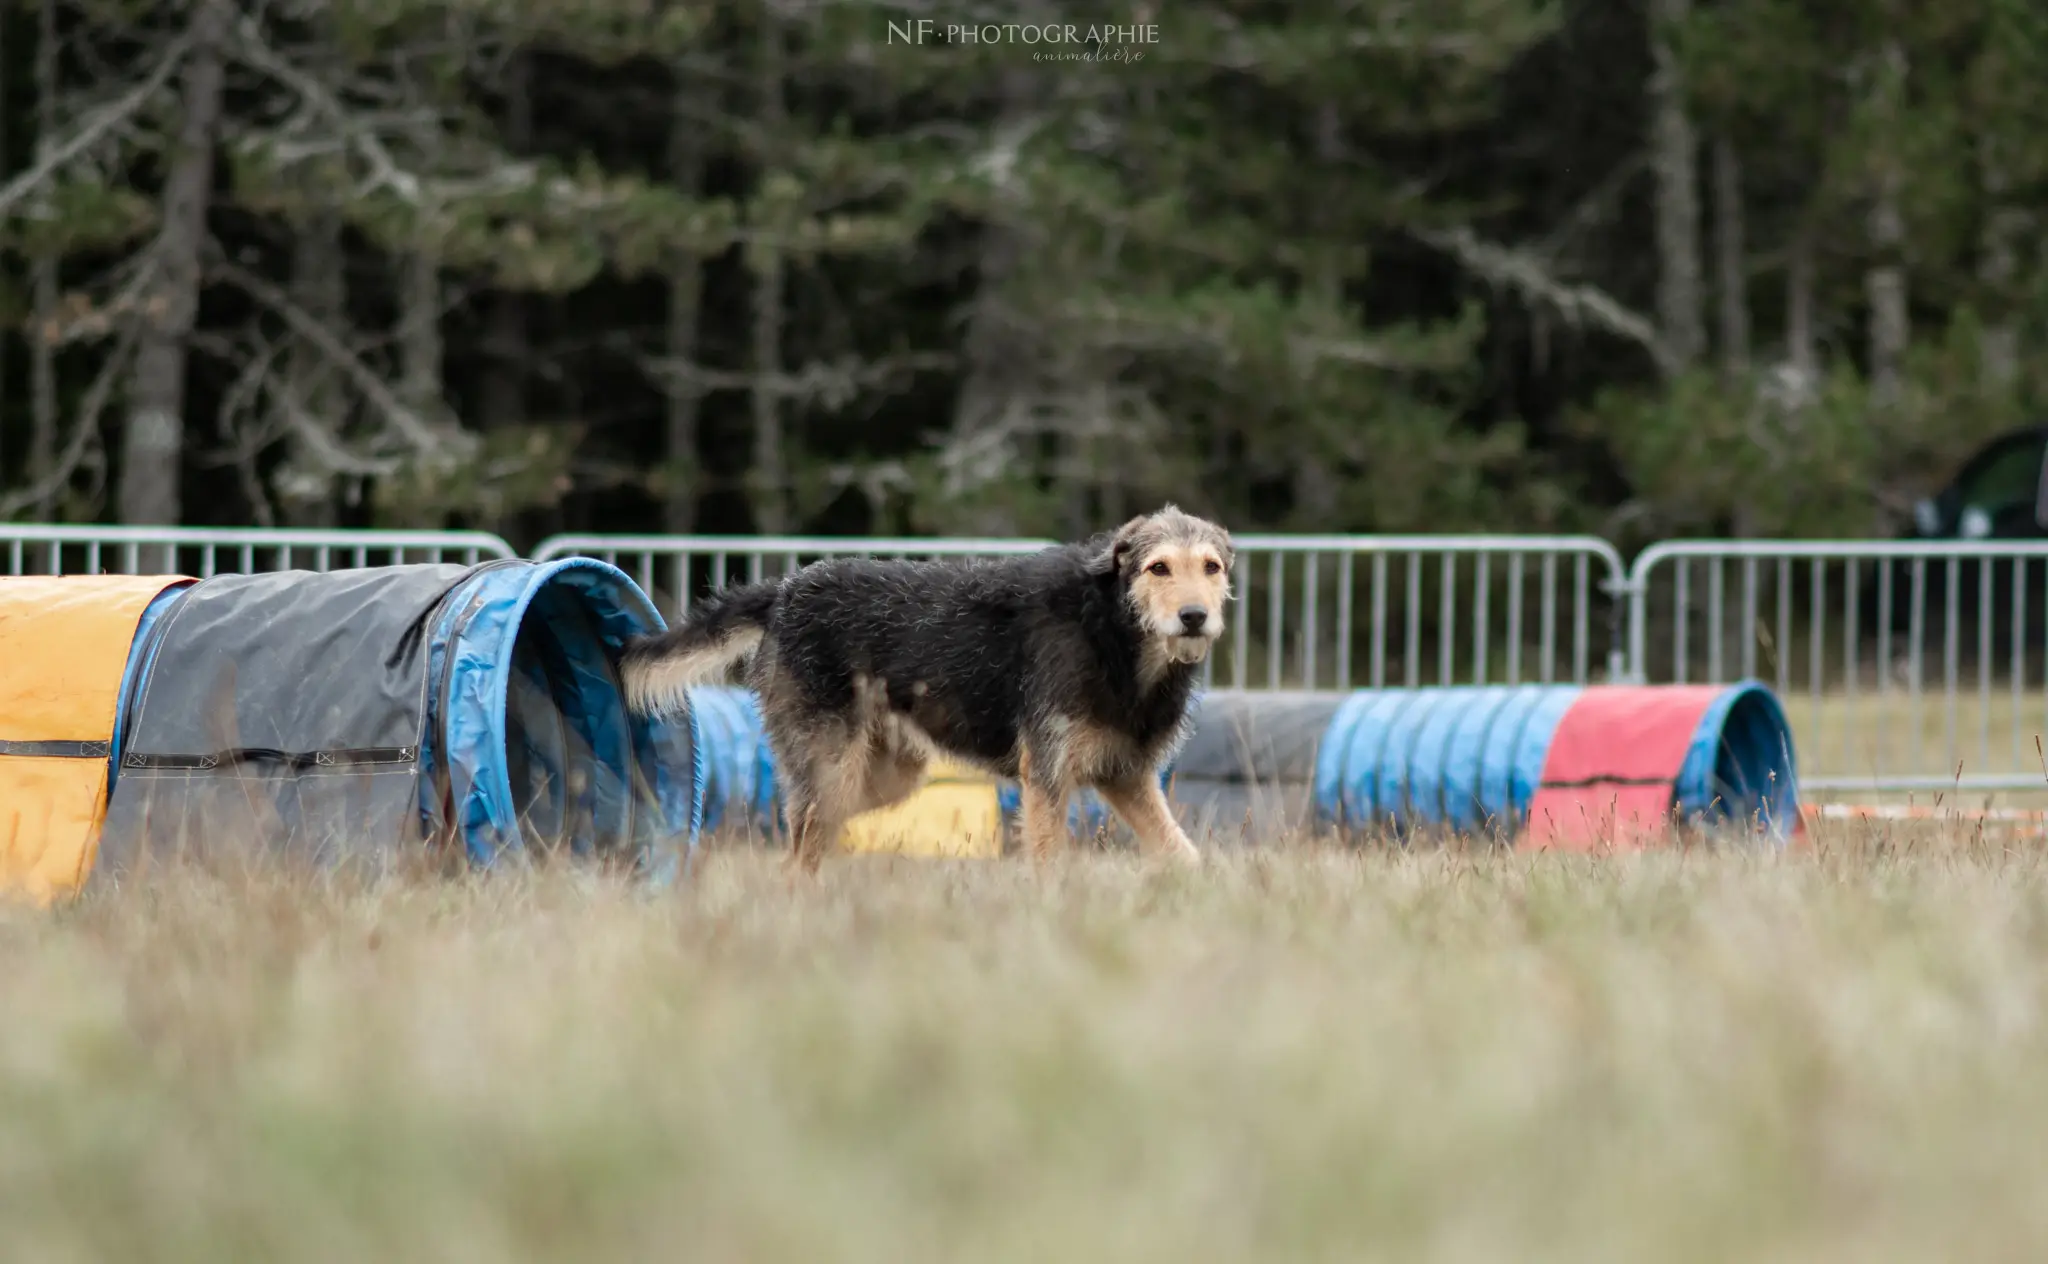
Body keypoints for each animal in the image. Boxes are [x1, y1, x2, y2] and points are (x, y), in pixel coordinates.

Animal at [614, 501, 1228, 868]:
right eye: (1158, 568)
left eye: (1212, 567)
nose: (1195, 617)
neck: (1114, 632)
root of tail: (784, 591)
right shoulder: (1046, 777)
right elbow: (1049, 863)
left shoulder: (1128, 778)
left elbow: (1185, 857)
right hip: (833, 770)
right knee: (797, 855)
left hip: (882, 778)